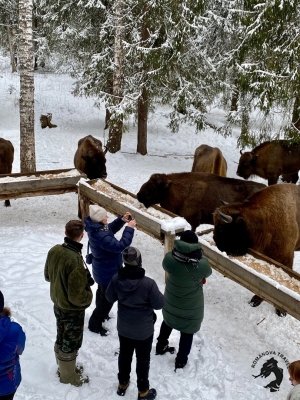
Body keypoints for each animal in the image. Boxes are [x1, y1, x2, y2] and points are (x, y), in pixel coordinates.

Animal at [213, 184, 300, 316]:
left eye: (222, 229)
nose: (216, 242)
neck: (264, 219)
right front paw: (255, 301)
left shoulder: (286, 258)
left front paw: (280, 311)